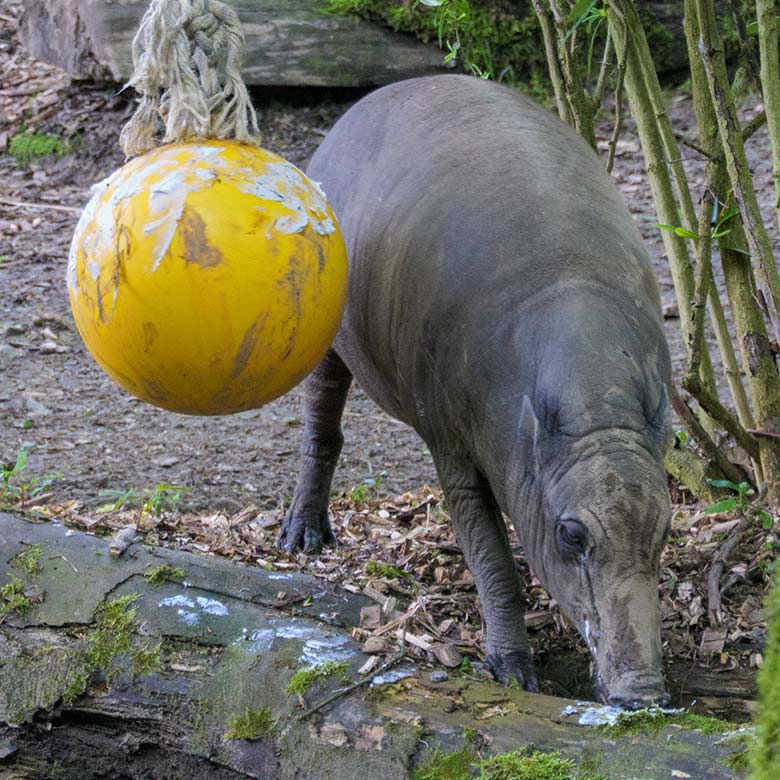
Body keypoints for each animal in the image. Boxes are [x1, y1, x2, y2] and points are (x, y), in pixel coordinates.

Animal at [278, 76, 672, 708]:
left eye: (666, 530)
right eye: (571, 535)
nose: (643, 694)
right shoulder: (453, 449)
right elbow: (494, 561)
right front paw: (511, 670)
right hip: (327, 337)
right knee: (322, 424)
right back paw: (304, 537)